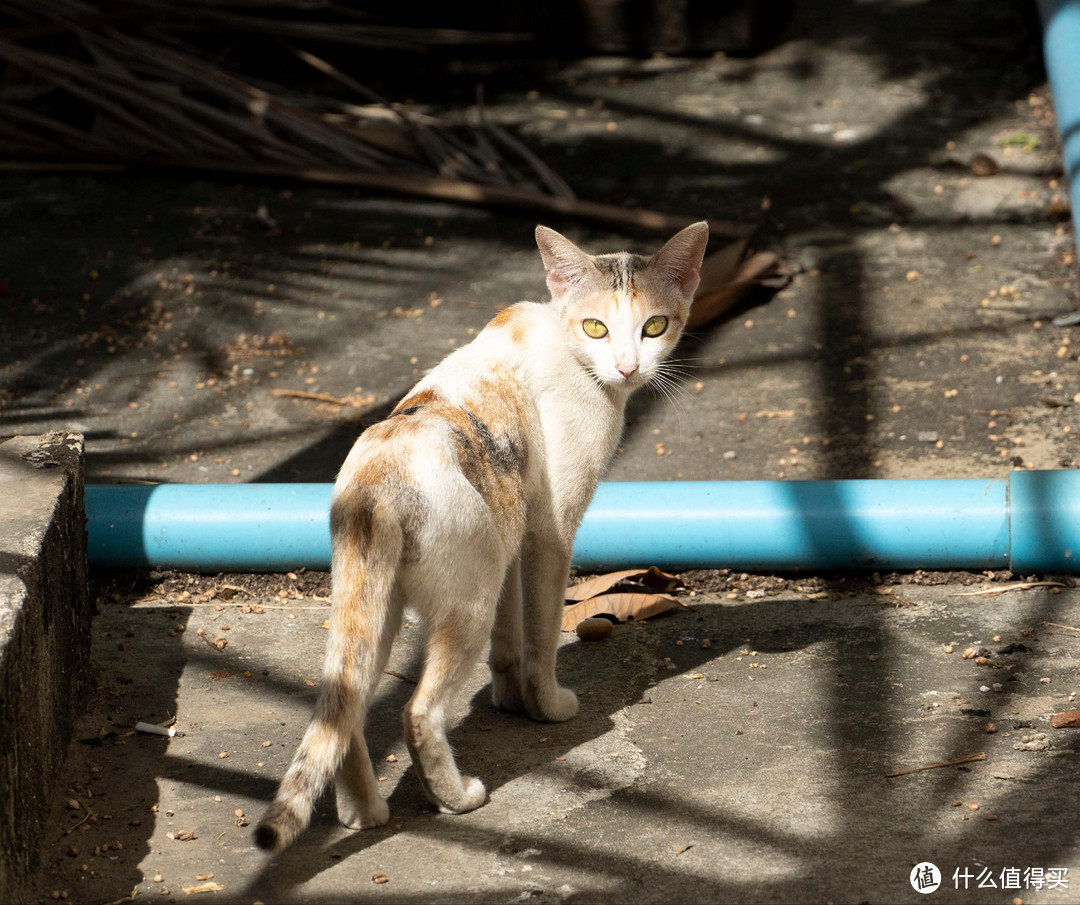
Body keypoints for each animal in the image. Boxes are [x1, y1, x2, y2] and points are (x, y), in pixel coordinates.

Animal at [252, 219, 708, 851]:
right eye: (596, 327)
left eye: (655, 326)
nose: (626, 367)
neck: (560, 334)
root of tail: (377, 478)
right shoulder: (549, 532)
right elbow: (541, 635)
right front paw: (547, 707)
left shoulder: (513, 532)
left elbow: (510, 638)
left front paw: (510, 699)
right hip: (467, 600)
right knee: (417, 713)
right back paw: (454, 798)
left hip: (378, 606)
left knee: (346, 709)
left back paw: (364, 813)